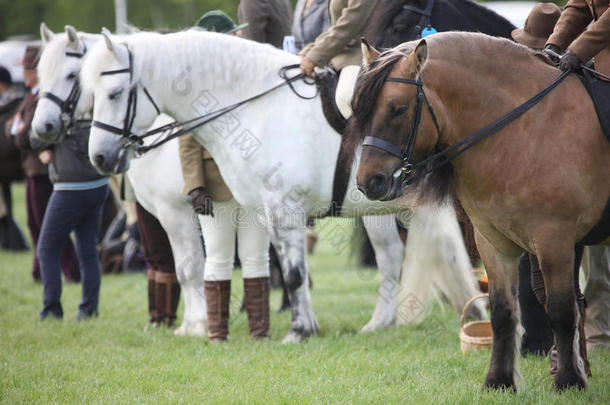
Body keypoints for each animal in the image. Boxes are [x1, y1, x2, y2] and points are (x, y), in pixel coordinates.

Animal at [31, 24, 207, 334]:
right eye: (42, 73)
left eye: (72, 75)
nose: (42, 127)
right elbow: (178, 267)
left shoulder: (177, 211)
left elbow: (190, 267)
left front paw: (197, 325)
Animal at [81, 30, 482, 342]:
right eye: (90, 92)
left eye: (114, 93)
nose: (99, 157)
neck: (259, 108)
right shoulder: (263, 211)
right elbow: (287, 271)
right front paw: (304, 326)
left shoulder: (283, 207)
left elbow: (292, 273)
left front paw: (299, 331)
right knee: (395, 258)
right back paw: (385, 323)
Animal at [350, 32, 608, 392]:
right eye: (358, 109)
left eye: (397, 109)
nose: (367, 181)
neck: (525, 130)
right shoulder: (493, 243)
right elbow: (502, 313)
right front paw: (498, 380)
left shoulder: (554, 241)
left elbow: (560, 311)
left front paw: (569, 381)